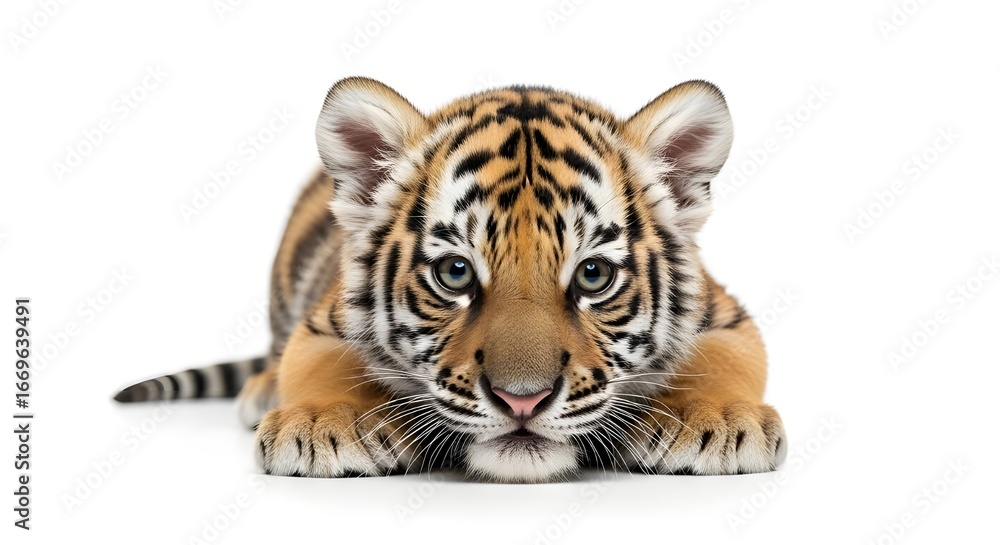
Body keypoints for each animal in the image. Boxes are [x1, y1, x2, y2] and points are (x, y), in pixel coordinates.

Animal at [114, 77, 786, 482]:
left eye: (593, 275)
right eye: (454, 272)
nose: (523, 400)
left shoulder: (725, 312)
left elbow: (727, 357)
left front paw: (716, 420)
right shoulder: (323, 320)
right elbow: (318, 363)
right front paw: (325, 424)